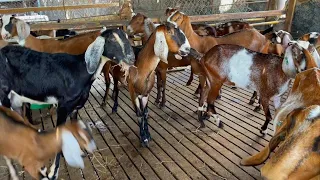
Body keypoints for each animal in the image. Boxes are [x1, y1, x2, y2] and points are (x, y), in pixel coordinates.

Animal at [0, 28, 135, 179]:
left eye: (126, 36)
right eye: (111, 39)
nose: (132, 58)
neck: (80, 69)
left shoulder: (75, 108)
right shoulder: (63, 107)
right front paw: (53, 172)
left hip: (16, 100)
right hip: (4, 95)